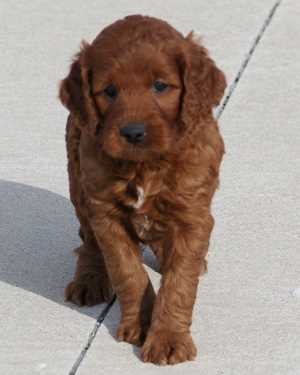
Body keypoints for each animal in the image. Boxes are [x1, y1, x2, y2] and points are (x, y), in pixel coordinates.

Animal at [59, 15, 226, 368]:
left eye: (160, 86)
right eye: (109, 91)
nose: (133, 133)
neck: (145, 165)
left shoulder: (193, 216)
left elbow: (179, 282)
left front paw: (169, 339)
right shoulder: (105, 213)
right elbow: (128, 272)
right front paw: (141, 324)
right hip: (78, 181)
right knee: (88, 241)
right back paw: (89, 280)